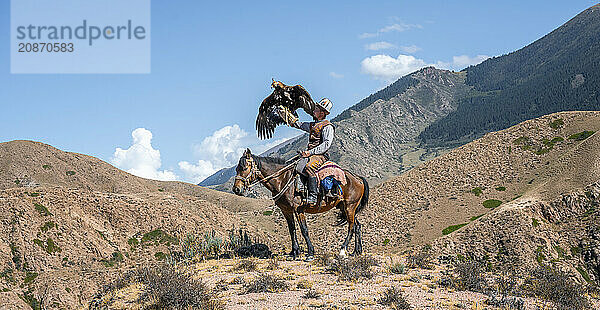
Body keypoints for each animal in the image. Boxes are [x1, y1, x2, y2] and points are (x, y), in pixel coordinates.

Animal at [232, 149, 368, 260]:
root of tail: (358, 178)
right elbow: (292, 229)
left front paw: (310, 253)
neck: (283, 179)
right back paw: (356, 252)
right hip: (345, 208)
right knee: (357, 226)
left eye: (244, 168)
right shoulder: (286, 210)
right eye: (236, 169)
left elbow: (304, 230)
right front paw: (294, 252)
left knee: (351, 227)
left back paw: (343, 250)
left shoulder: (298, 210)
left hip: (350, 206)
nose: (236, 189)